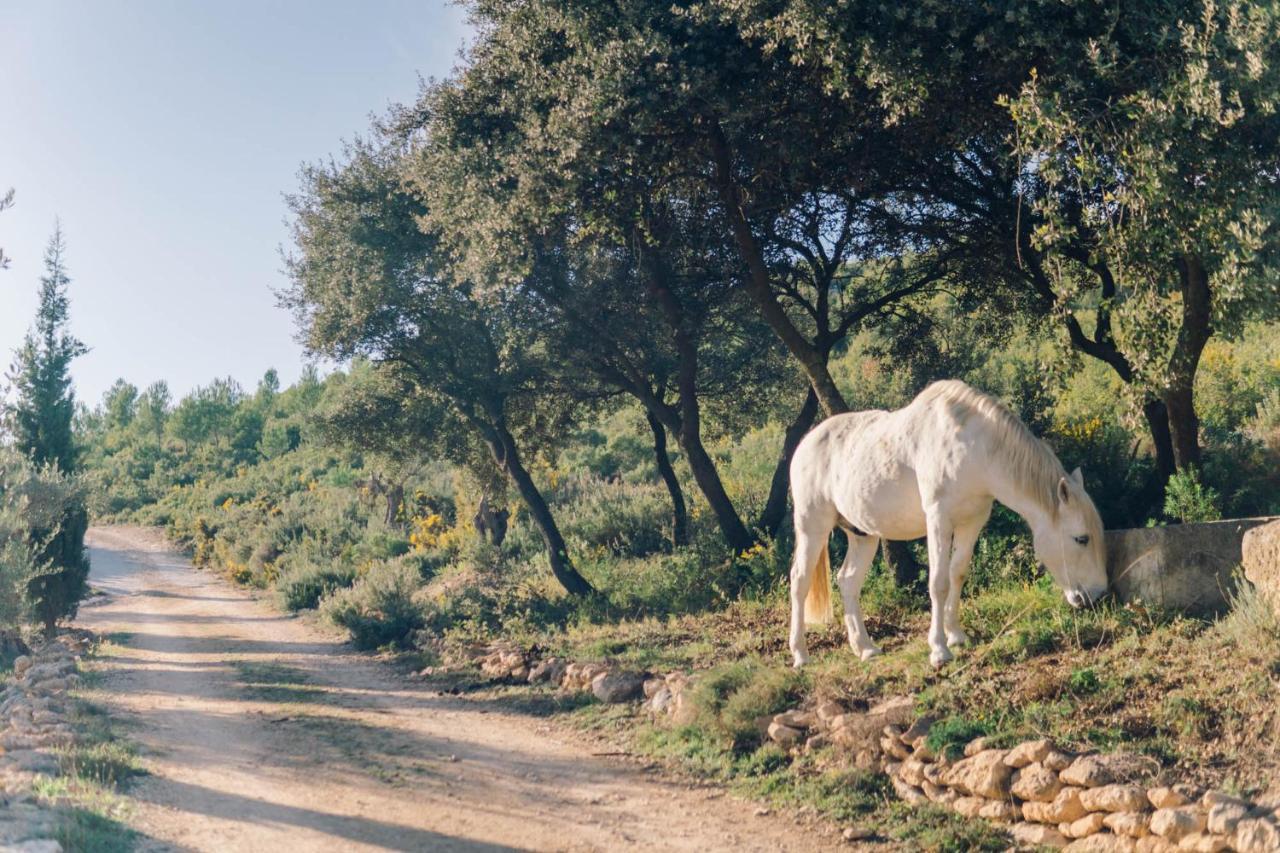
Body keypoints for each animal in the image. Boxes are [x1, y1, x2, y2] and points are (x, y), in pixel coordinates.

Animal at [783, 379, 1105, 666]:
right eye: (1081, 538)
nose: (1097, 596)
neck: (973, 449)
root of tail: (805, 445)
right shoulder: (938, 519)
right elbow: (938, 582)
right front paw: (939, 651)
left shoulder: (972, 522)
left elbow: (957, 574)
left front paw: (956, 636)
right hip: (813, 526)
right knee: (799, 581)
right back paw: (800, 655)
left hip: (863, 534)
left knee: (848, 581)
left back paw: (865, 648)